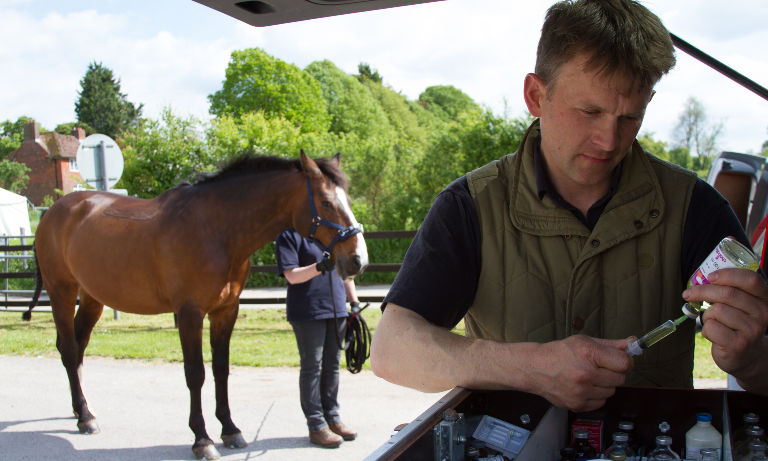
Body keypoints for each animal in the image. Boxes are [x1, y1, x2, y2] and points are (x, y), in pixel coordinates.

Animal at [24, 152, 368, 460]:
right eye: (326, 202)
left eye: (349, 201)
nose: (357, 260)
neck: (216, 229)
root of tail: (53, 211)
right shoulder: (189, 314)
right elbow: (195, 374)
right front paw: (202, 440)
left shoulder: (225, 312)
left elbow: (221, 370)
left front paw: (230, 430)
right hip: (61, 292)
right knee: (69, 349)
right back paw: (84, 416)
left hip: (92, 297)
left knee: (79, 345)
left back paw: (82, 410)